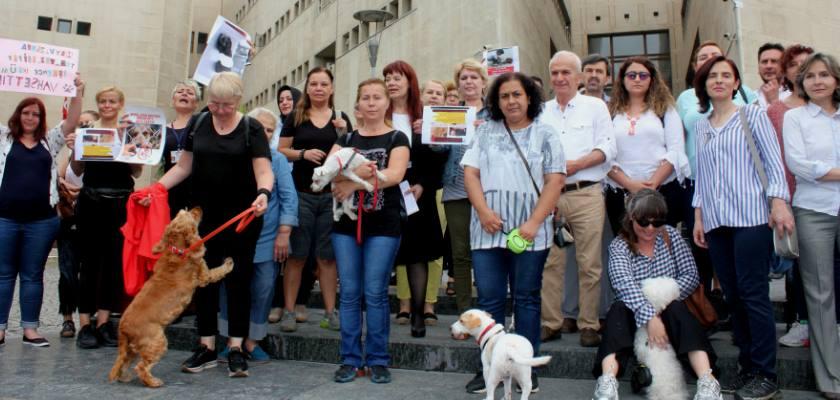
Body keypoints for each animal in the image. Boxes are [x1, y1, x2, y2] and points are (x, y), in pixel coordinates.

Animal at [110, 209, 233, 388]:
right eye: (191, 215)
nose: (198, 208)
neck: (177, 249)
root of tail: (123, 329)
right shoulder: (204, 275)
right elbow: (217, 271)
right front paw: (229, 263)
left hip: (131, 349)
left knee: (124, 363)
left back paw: (124, 377)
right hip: (157, 343)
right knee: (141, 367)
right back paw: (153, 382)